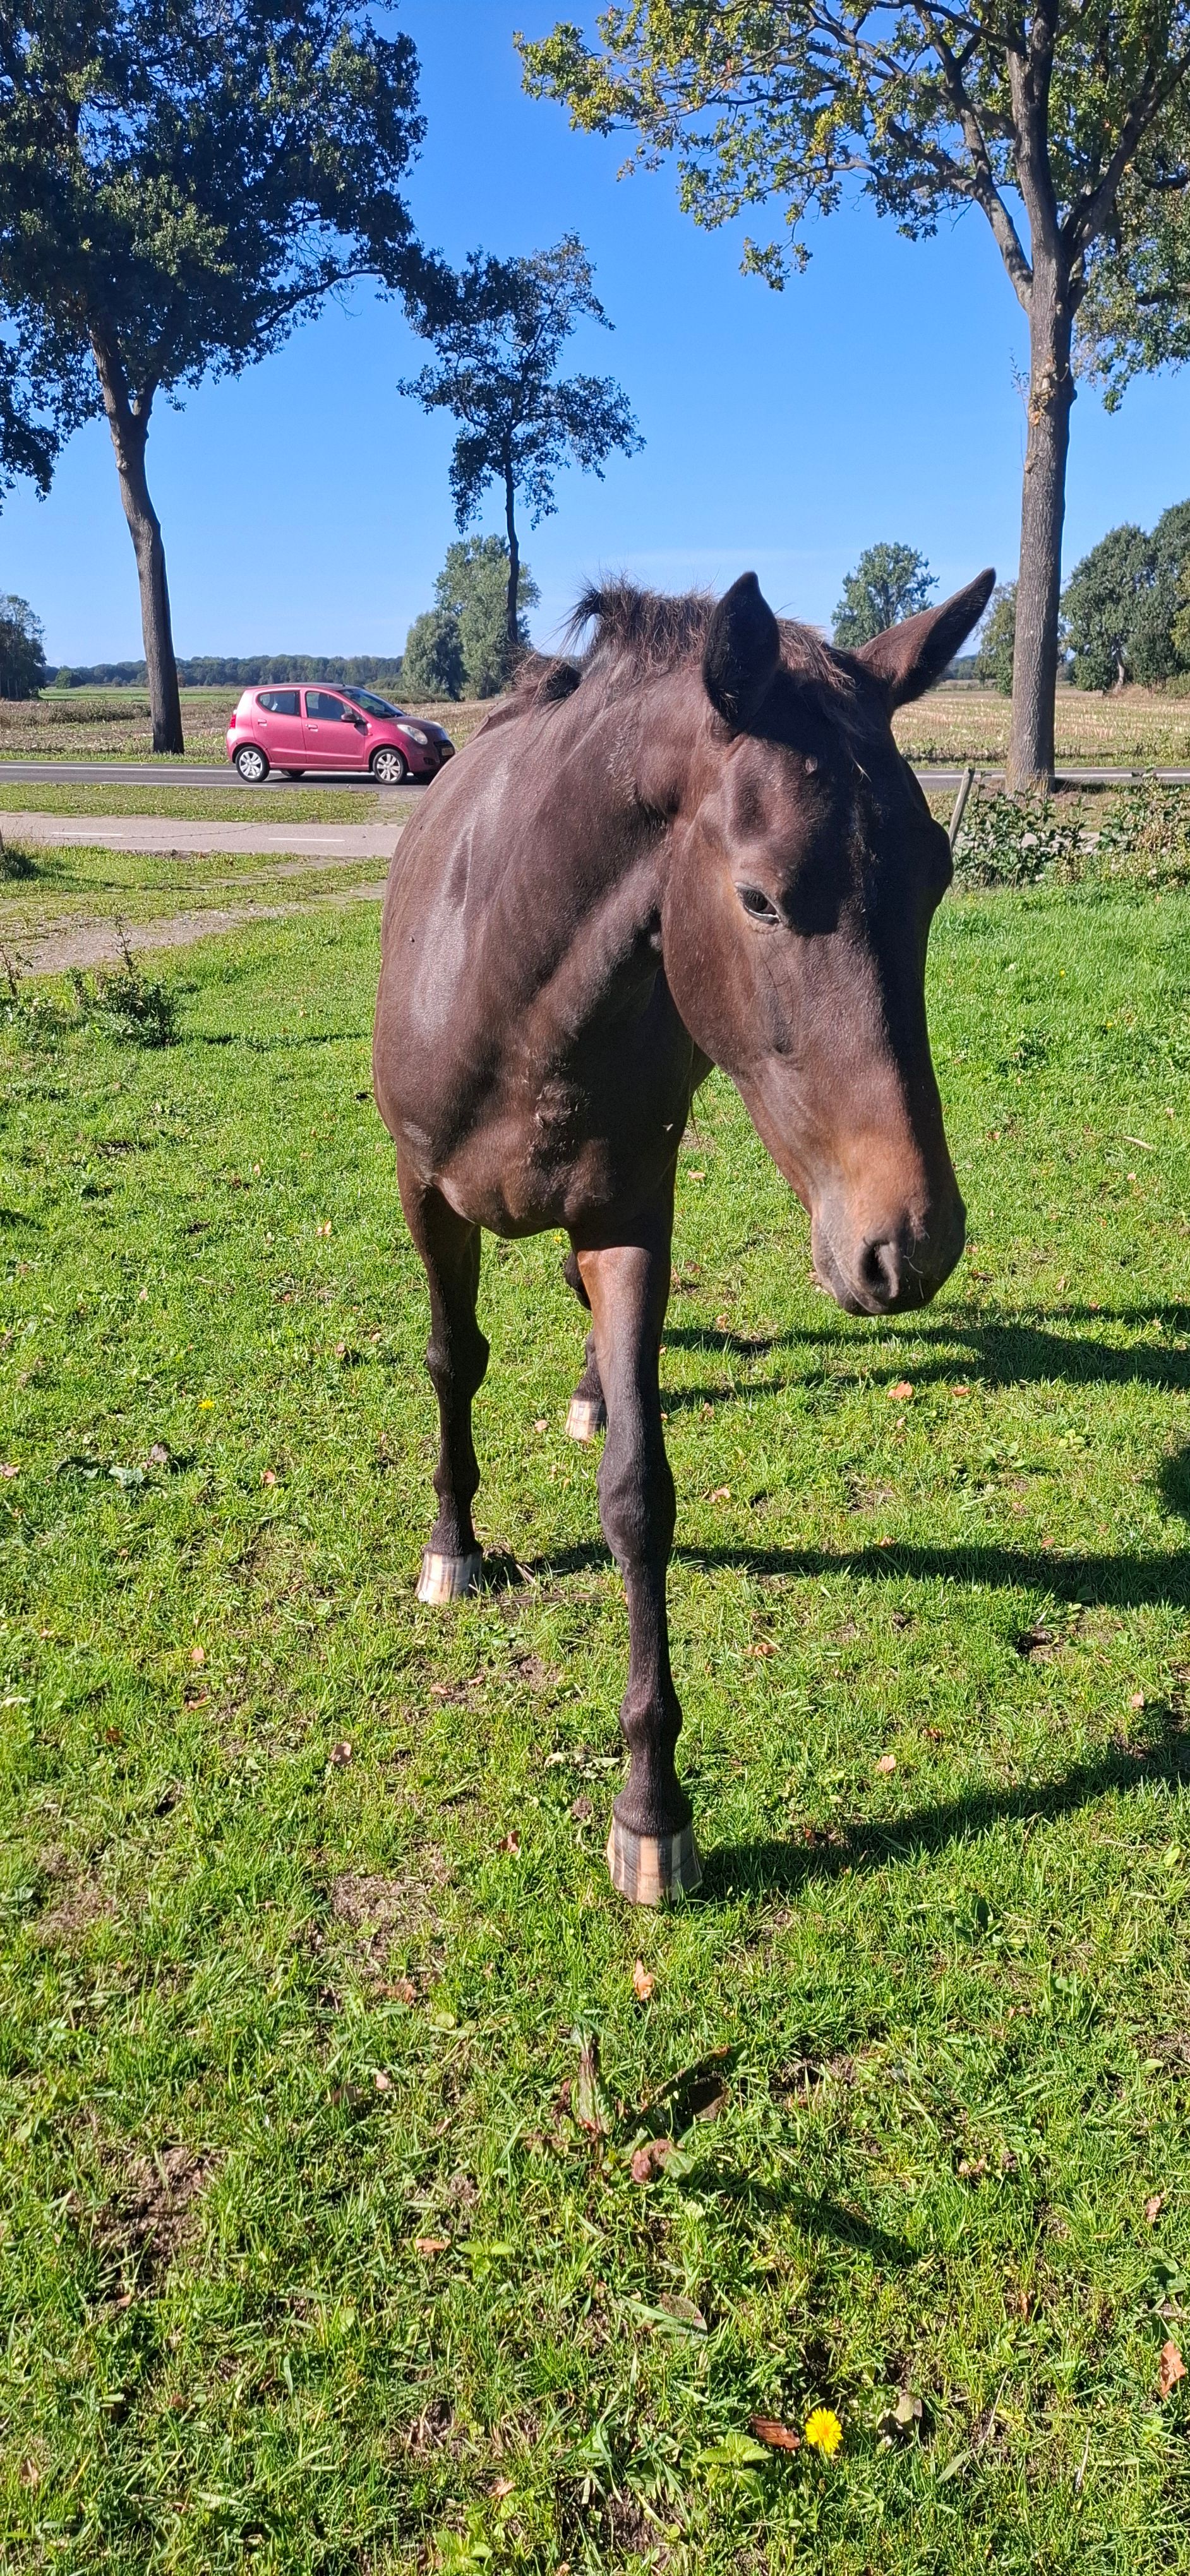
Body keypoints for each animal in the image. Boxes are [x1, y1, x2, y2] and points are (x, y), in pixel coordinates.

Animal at [372, 565, 994, 1903]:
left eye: (933, 878)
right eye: (756, 897)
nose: (908, 1245)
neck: (512, 978)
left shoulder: (628, 1218)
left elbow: (639, 1498)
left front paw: (651, 1809)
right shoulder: (422, 1195)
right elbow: (450, 1363)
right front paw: (453, 1545)